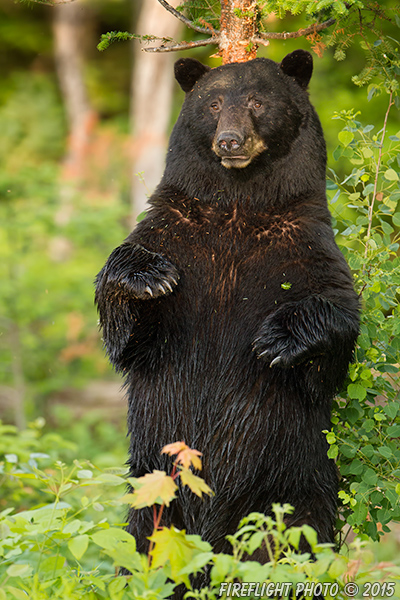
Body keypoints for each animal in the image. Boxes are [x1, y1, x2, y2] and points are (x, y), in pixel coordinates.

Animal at [96, 50, 360, 576]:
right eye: (214, 103)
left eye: (257, 100)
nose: (229, 140)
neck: (239, 206)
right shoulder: (178, 234)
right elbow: (127, 334)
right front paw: (147, 277)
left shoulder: (302, 244)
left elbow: (337, 320)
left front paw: (279, 339)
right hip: (155, 491)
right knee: (143, 550)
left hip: (292, 491)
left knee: (294, 549)